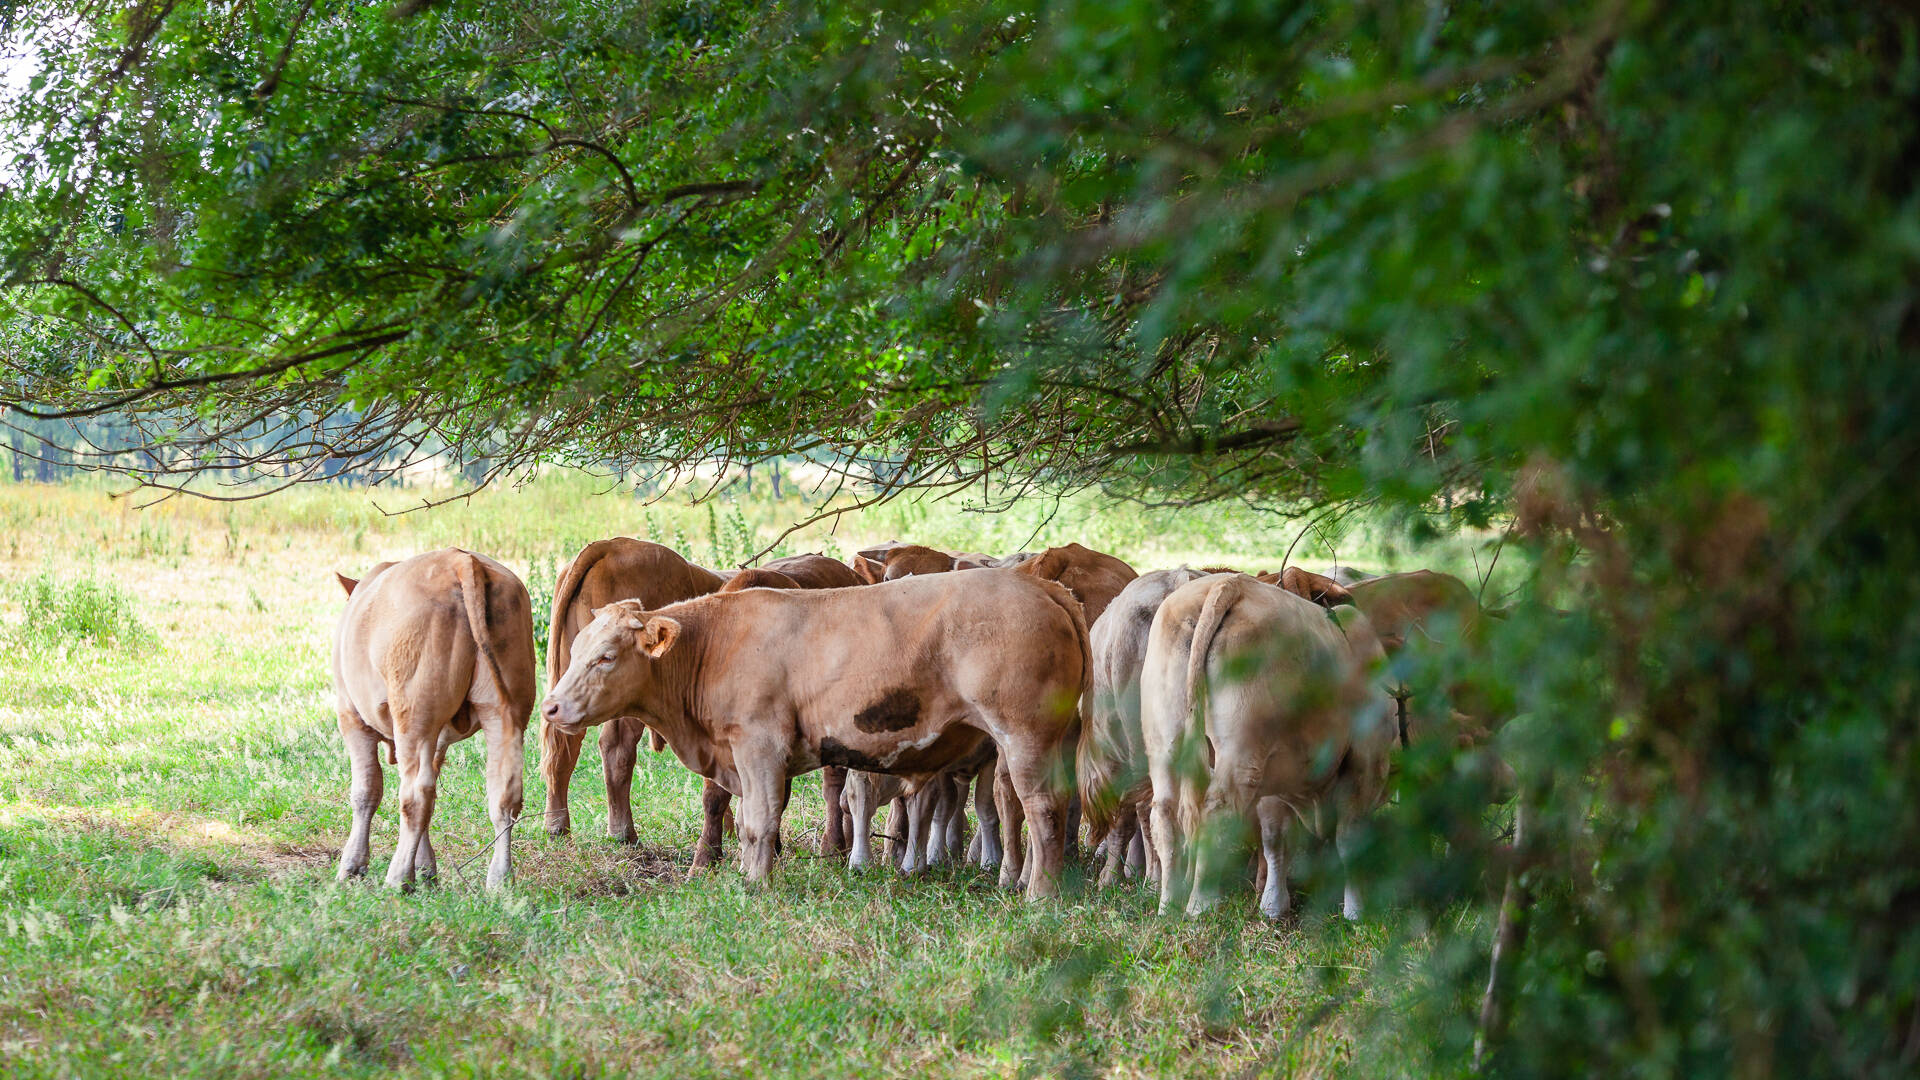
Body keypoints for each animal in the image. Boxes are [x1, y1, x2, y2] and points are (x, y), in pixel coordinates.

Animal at [330, 549, 537, 887]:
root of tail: (461, 560)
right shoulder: (439, 737)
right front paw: (426, 868)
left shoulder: (350, 715)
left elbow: (366, 791)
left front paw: (352, 866)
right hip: (504, 706)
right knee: (504, 792)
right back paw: (499, 878)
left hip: (415, 711)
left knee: (416, 793)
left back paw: (397, 877)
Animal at [549, 568, 1090, 895]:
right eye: (576, 650)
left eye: (606, 657)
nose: (552, 706)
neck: (716, 643)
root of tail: (1038, 584)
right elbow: (746, 821)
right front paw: (747, 872)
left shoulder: (759, 745)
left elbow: (759, 821)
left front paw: (756, 885)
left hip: (1024, 737)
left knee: (1040, 808)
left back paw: (1039, 895)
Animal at [1136, 572, 1397, 914]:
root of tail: (1227, 585)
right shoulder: (1364, 762)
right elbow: (1349, 839)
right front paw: (1356, 910)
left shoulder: (1277, 775)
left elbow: (1274, 838)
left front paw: (1273, 903)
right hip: (1240, 753)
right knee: (1217, 811)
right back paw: (1200, 904)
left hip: (1165, 739)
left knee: (1165, 812)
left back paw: (1169, 903)